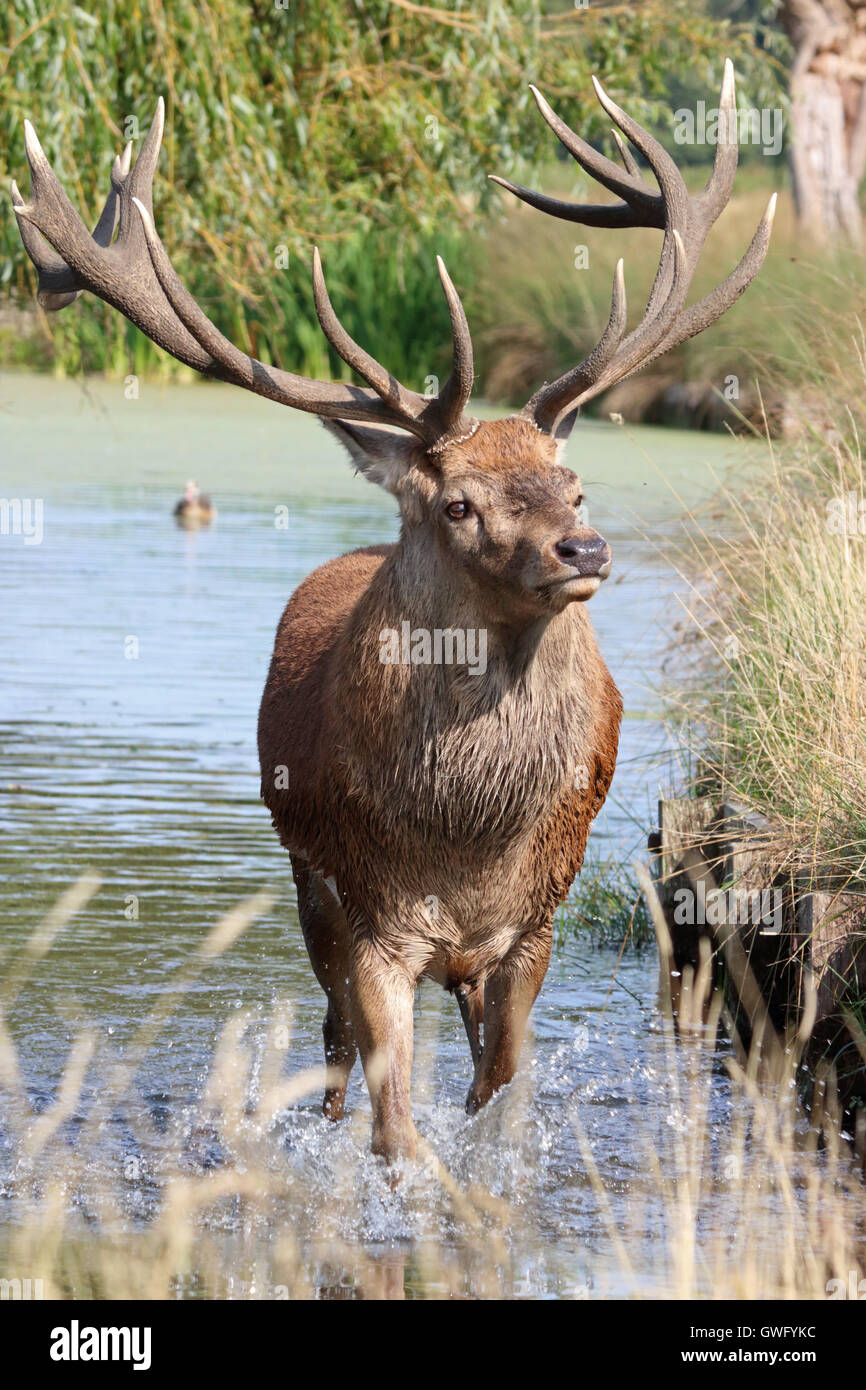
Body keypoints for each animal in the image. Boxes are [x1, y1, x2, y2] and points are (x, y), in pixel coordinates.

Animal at [11, 62, 772, 1162]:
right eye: (457, 503)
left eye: (573, 484)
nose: (583, 549)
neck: (466, 839)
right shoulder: (371, 917)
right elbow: (394, 1126)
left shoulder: (533, 925)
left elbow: (498, 1097)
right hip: (308, 884)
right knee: (331, 1042)